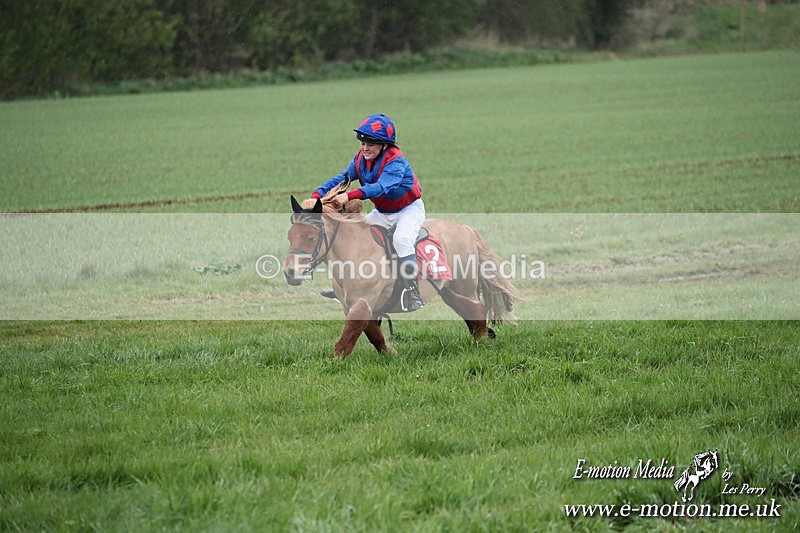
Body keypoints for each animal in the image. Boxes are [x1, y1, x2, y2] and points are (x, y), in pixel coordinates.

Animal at [282, 189, 517, 359]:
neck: (354, 253)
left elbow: (345, 342)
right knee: (469, 312)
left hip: (463, 286)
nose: (290, 272)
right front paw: (392, 354)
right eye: (290, 236)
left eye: (311, 238)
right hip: (448, 291)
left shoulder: (362, 303)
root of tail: (466, 228)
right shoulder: (360, 306)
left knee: (477, 309)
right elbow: (374, 336)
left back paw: (482, 341)